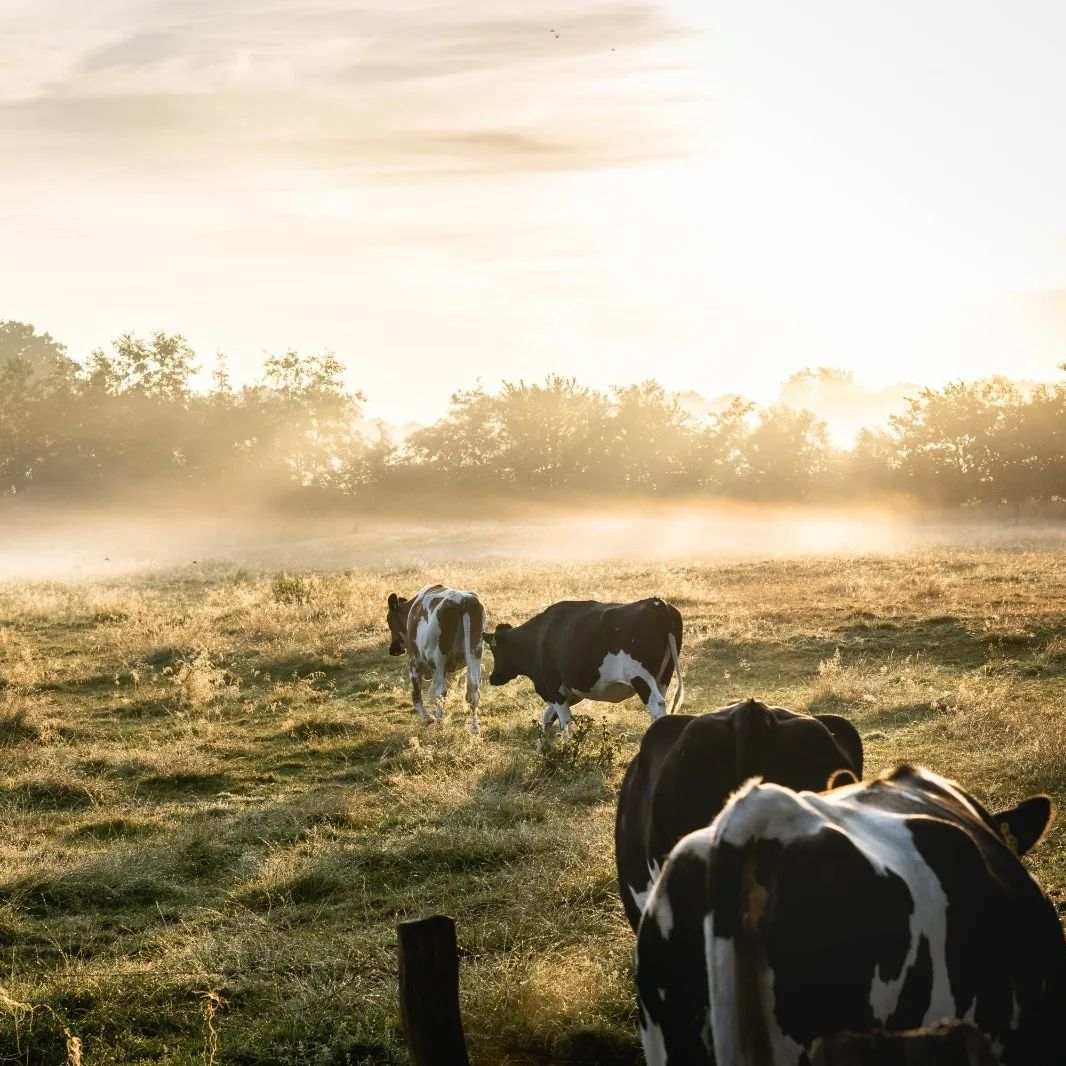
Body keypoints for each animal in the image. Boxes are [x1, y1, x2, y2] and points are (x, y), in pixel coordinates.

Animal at [385, 588, 486, 737]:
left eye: (388, 620)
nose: (393, 649)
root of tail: (460, 600)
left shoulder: (414, 662)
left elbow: (416, 694)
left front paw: (427, 719)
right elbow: (430, 694)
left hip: (437, 658)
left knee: (441, 692)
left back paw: (439, 724)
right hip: (475, 651)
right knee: (473, 690)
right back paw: (474, 728)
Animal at [486, 601, 682, 741]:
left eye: (495, 650)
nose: (492, 678)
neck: (539, 637)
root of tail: (657, 603)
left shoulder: (552, 687)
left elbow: (564, 721)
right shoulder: (570, 692)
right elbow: (548, 715)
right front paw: (542, 746)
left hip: (641, 677)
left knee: (657, 705)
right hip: (663, 677)